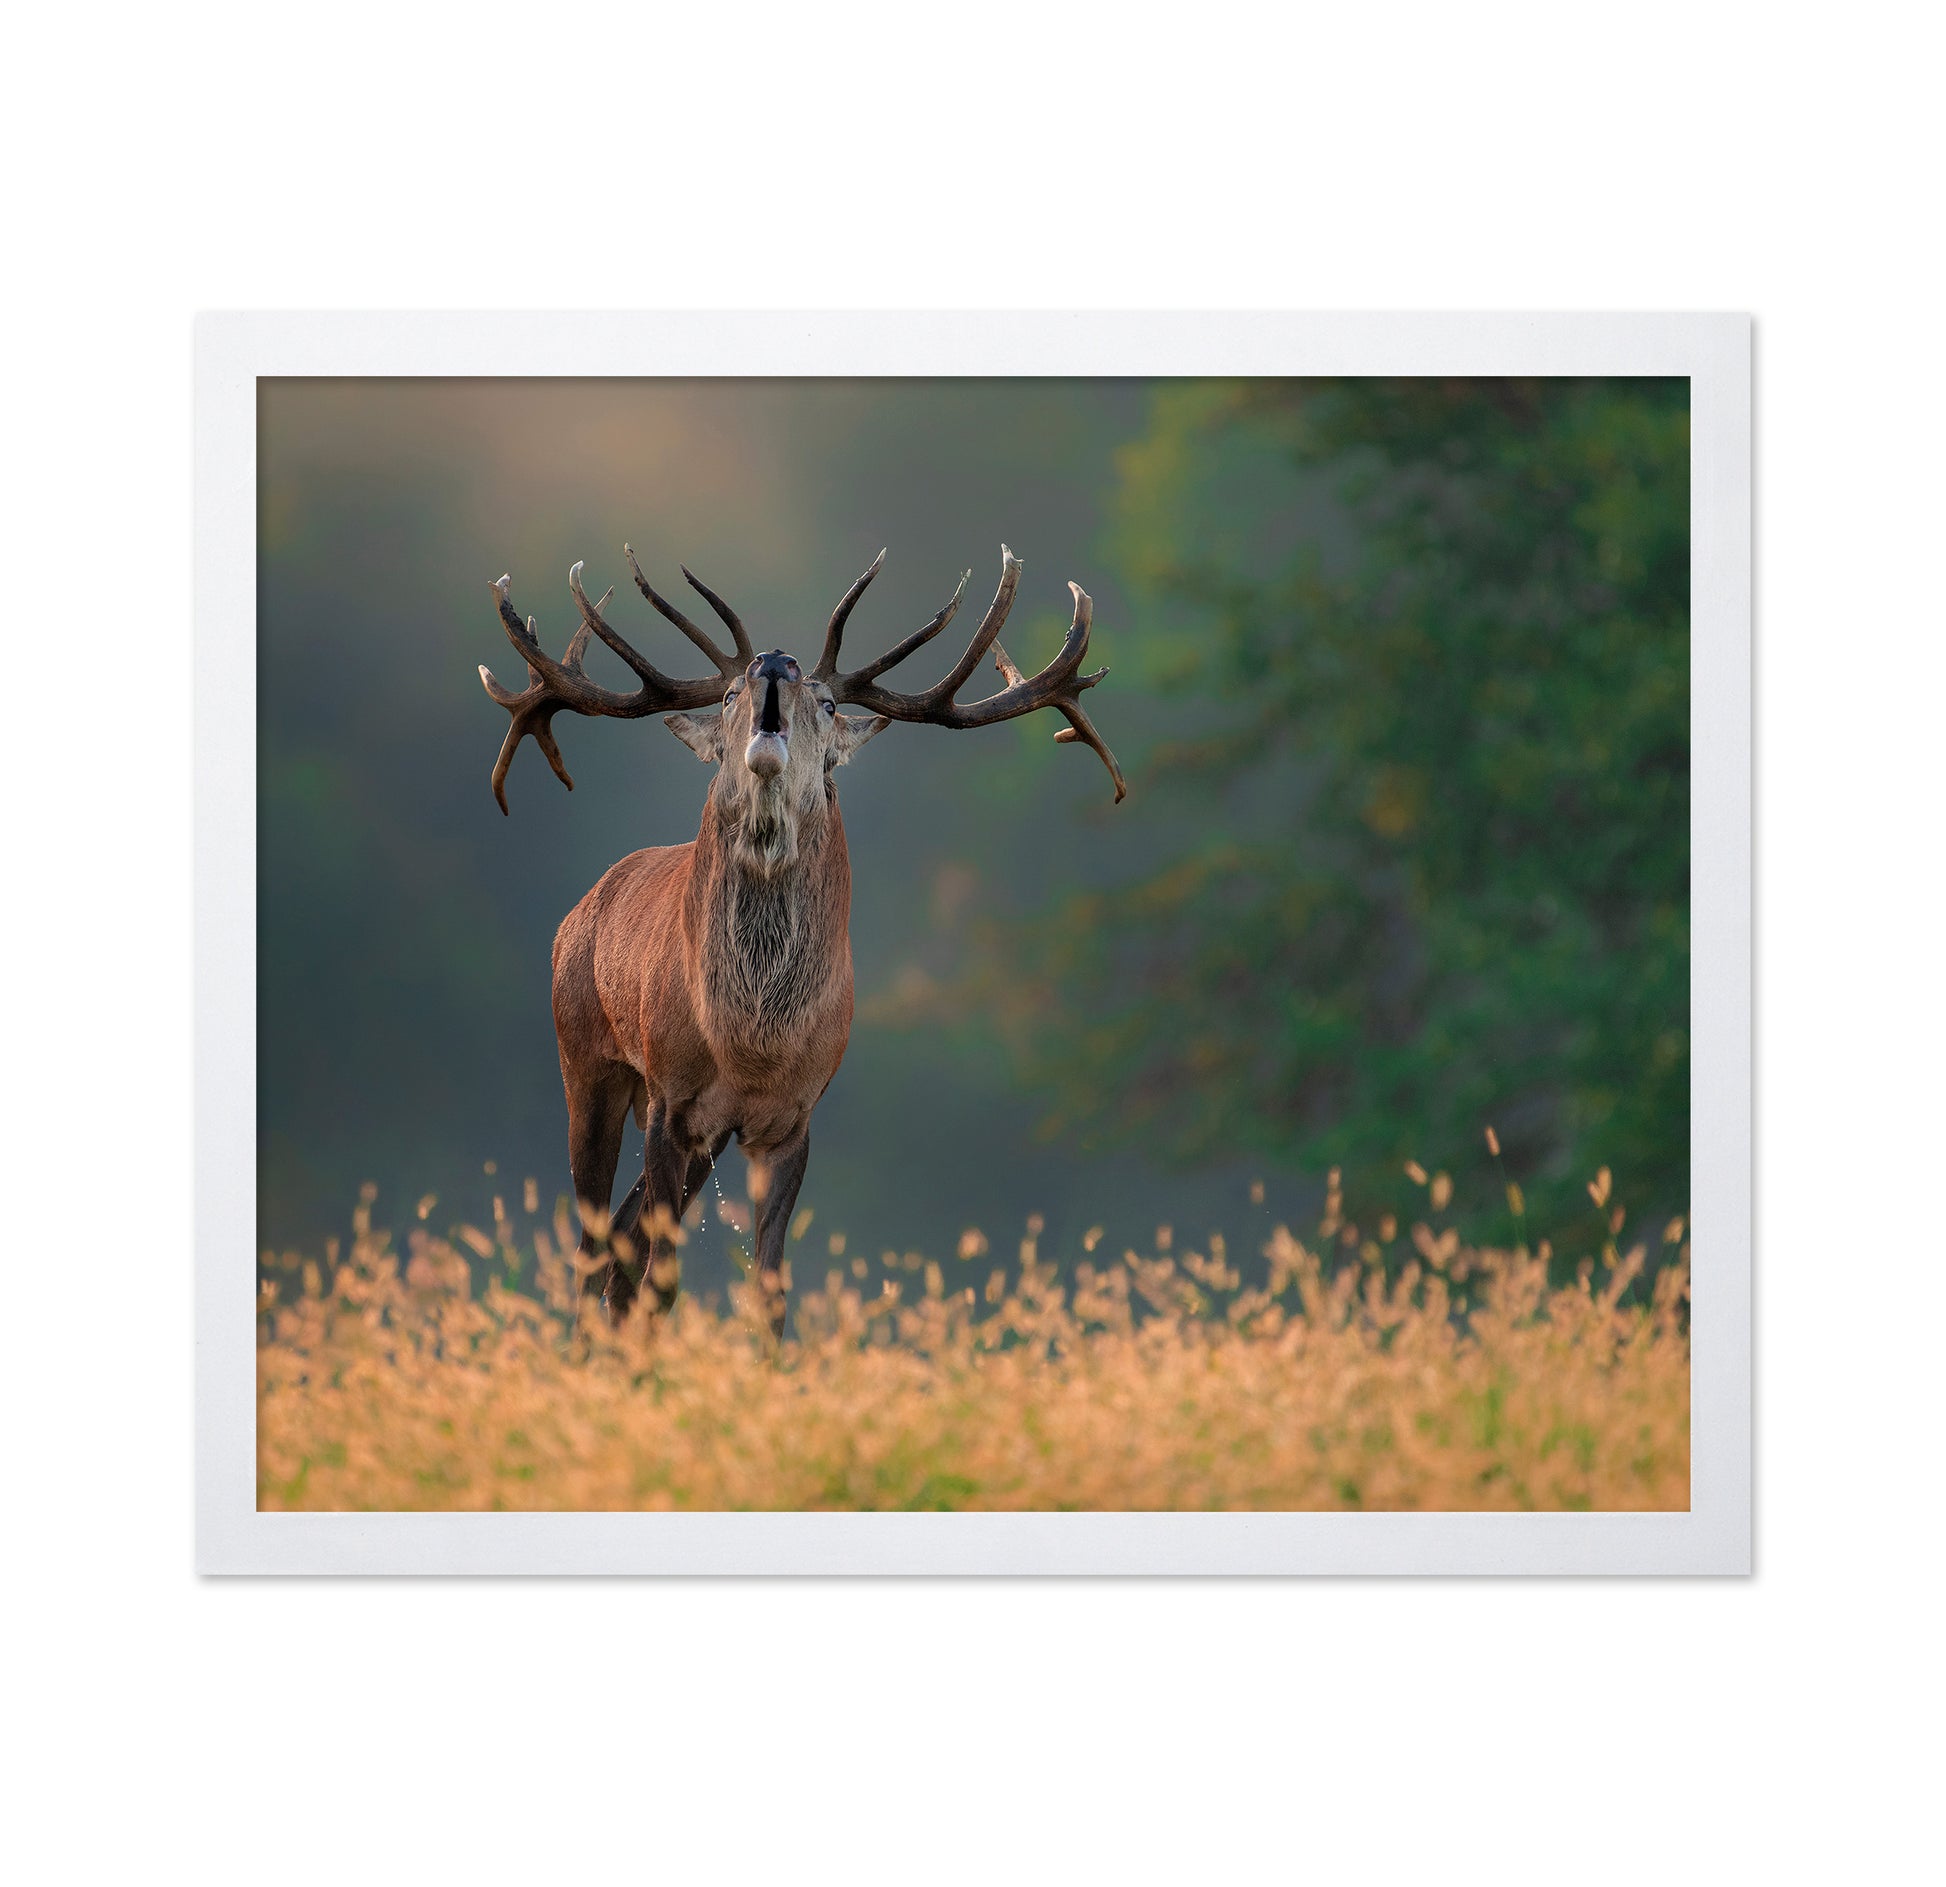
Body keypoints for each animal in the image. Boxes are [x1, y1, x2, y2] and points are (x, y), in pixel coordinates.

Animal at [478, 543, 1123, 1333]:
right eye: (726, 695)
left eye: (830, 704)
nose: (775, 663)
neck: (753, 1043)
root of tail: (579, 912)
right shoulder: (669, 1096)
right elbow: (665, 1279)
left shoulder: (793, 1117)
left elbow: (770, 1290)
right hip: (586, 1060)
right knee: (596, 1247)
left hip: (698, 1132)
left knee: (621, 1244)